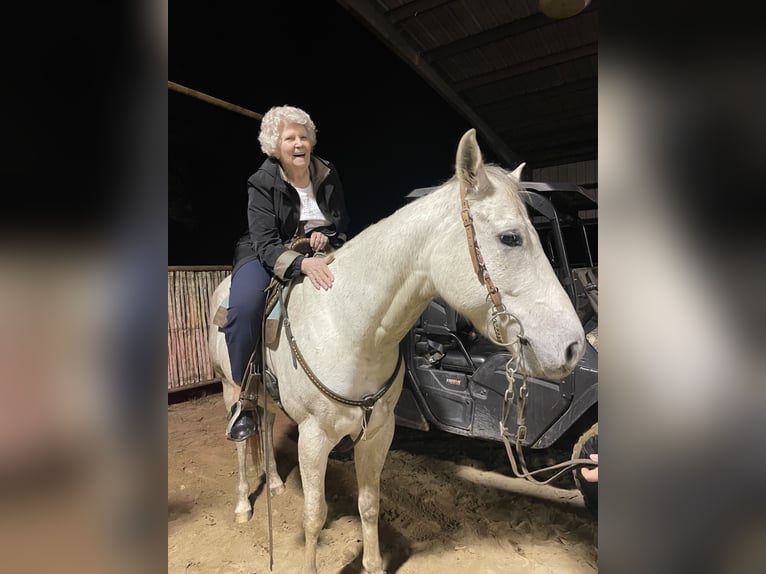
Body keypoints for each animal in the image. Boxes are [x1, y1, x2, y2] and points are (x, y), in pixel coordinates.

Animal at [207, 128, 585, 574]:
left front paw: (373, 564)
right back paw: (243, 505)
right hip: (231, 388)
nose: (573, 346)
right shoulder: (314, 438)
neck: (350, 328)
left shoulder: (378, 432)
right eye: (510, 237)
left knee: (265, 427)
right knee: (242, 440)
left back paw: (278, 484)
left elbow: (369, 504)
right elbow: (314, 515)